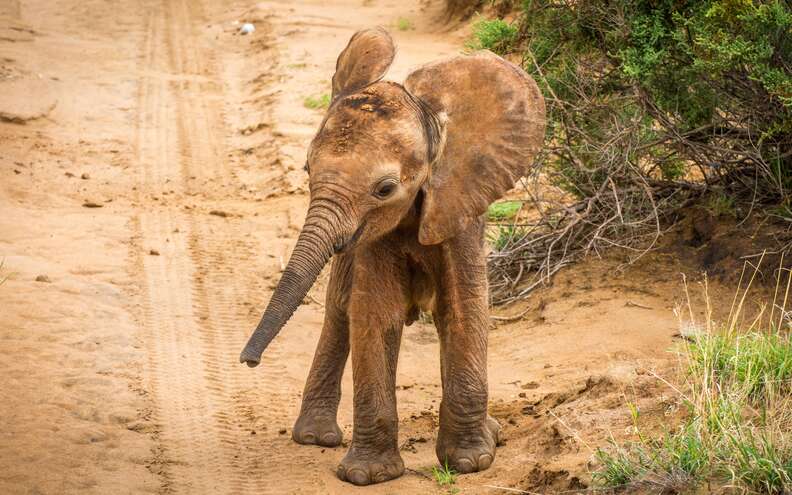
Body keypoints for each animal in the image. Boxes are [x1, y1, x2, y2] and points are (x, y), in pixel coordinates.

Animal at [240, 27, 545, 486]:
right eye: (308, 171)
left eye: (384, 189)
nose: (249, 361)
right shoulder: (369, 238)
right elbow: (374, 313)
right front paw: (367, 475)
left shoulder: (460, 209)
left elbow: (464, 308)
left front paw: (470, 463)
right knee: (339, 309)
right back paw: (315, 437)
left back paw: (491, 434)